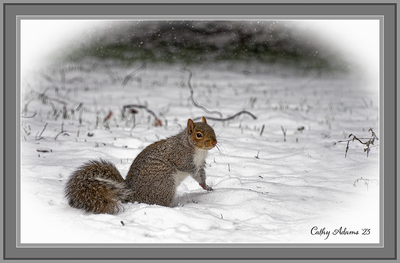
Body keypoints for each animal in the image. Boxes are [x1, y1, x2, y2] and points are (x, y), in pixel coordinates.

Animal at [64, 117, 217, 214]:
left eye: (212, 129)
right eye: (198, 134)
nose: (214, 142)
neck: (198, 150)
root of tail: (132, 194)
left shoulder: (200, 164)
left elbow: (200, 175)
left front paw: (207, 187)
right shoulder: (180, 156)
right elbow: (189, 168)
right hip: (165, 182)